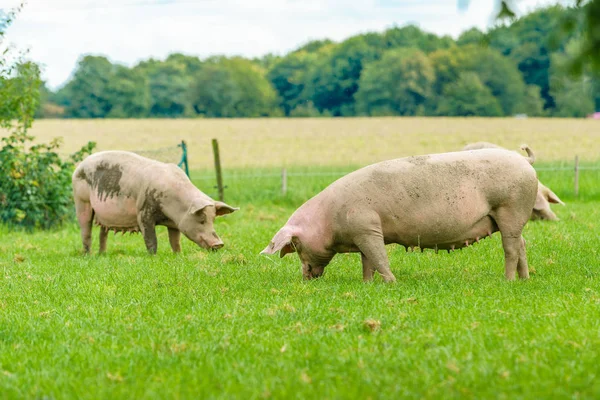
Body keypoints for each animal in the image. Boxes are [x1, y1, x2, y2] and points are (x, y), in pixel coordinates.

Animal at [71, 152, 238, 255]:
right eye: (202, 220)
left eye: (213, 219)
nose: (219, 244)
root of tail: (79, 166)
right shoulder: (143, 212)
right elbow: (151, 239)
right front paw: (153, 257)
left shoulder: (174, 223)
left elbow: (175, 241)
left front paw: (178, 255)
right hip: (81, 200)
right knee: (86, 230)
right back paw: (88, 255)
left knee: (103, 233)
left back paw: (102, 254)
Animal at [262, 146, 540, 282]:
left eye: (296, 246)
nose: (306, 277)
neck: (330, 219)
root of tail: (525, 161)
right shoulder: (362, 234)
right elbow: (367, 261)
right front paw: (367, 284)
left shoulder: (367, 228)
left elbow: (379, 257)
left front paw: (392, 282)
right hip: (511, 218)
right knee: (522, 244)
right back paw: (524, 280)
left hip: (510, 207)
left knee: (511, 248)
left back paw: (507, 281)